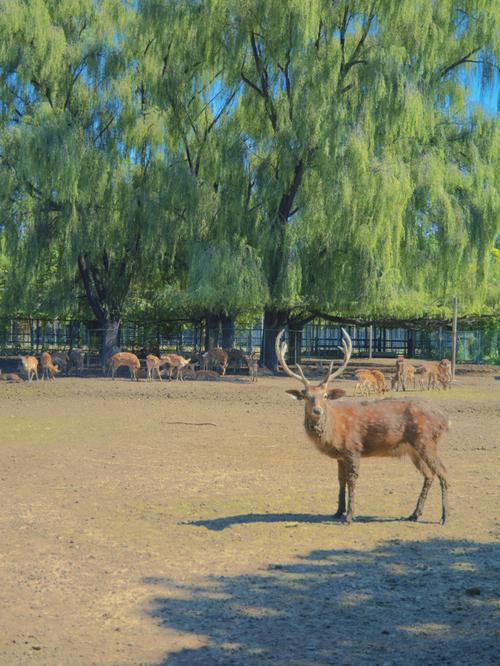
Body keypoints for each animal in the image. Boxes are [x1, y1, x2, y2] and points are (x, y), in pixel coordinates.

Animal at [278, 330, 450, 520]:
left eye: (325, 395)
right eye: (306, 396)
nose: (317, 410)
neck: (334, 430)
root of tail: (444, 419)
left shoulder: (353, 448)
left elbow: (352, 480)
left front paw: (349, 516)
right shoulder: (340, 456)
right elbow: (340, 480)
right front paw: (337, 511)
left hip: (426, 441)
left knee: (443, 472)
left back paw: (445, 516)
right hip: (413, 449)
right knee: (429, 475)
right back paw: (414, 514)